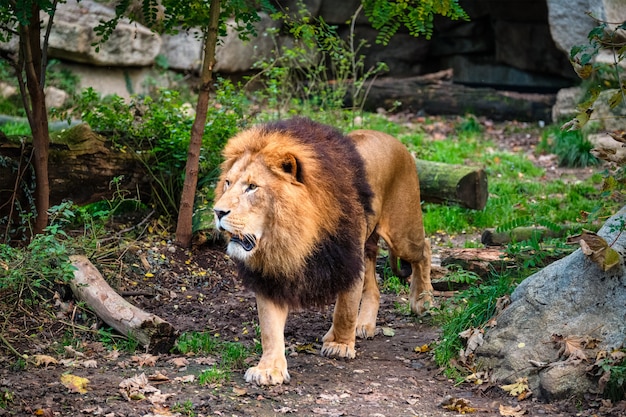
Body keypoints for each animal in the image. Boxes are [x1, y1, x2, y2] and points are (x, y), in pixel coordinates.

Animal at [212, 116, 432, 384]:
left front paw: (339, 345)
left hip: (402, 233)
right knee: (374, 288)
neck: (290, 234)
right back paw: (364, 325)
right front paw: (269, 368)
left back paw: (423, 301)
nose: (217, 212)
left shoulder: (347, 258)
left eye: (252, 187)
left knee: (425, 249)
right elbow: (269, 328)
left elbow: (345, 309)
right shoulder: (270, 274)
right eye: (227, 183)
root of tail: (396, 141)